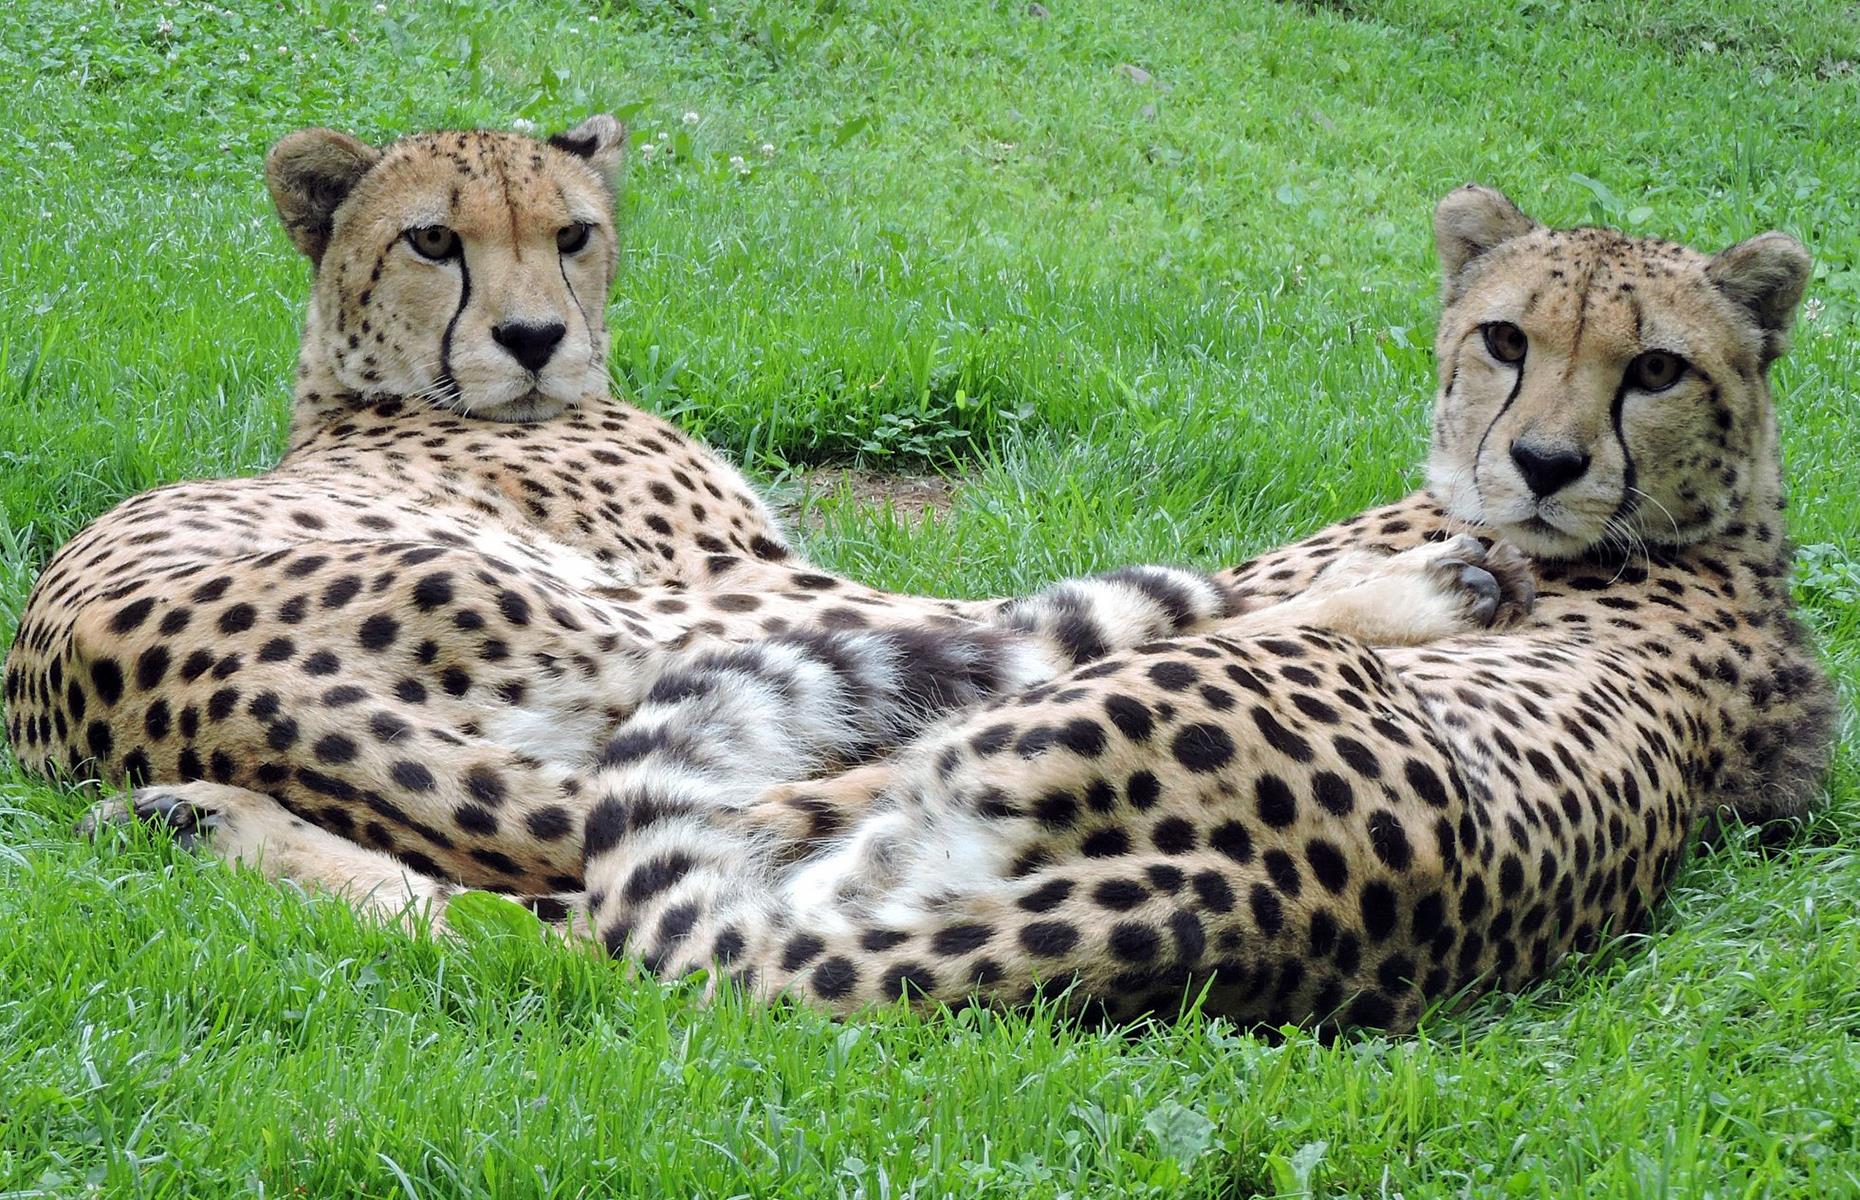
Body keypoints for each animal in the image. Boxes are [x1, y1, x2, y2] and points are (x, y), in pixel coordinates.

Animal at [0, 121, 1517, 922]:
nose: (536, 338)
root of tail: (162, 685)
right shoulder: (767, 570)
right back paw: (1423, 589)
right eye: (434, 239)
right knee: (1046, 654)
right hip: (712, 615)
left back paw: (191, 822)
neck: (368, 387)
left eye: (571, 233)